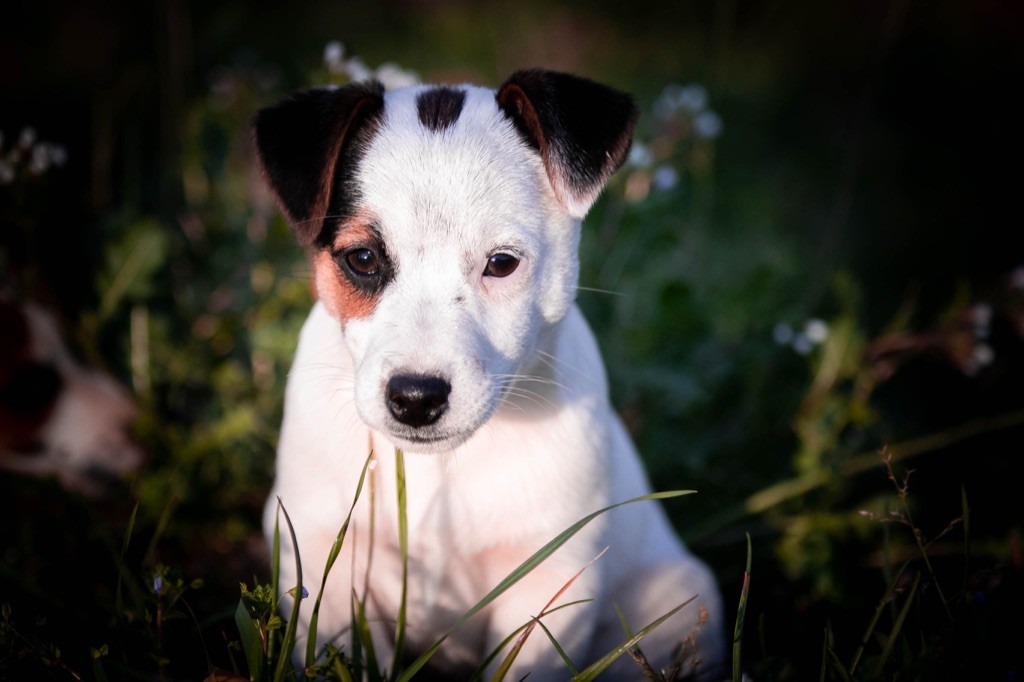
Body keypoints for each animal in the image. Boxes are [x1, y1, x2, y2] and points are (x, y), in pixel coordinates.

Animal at [251, 67, 724, 675]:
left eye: (501, 264)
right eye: (362, 259)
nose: (415, 398)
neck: (440, 468)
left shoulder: (548, 585)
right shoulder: (320, 558)